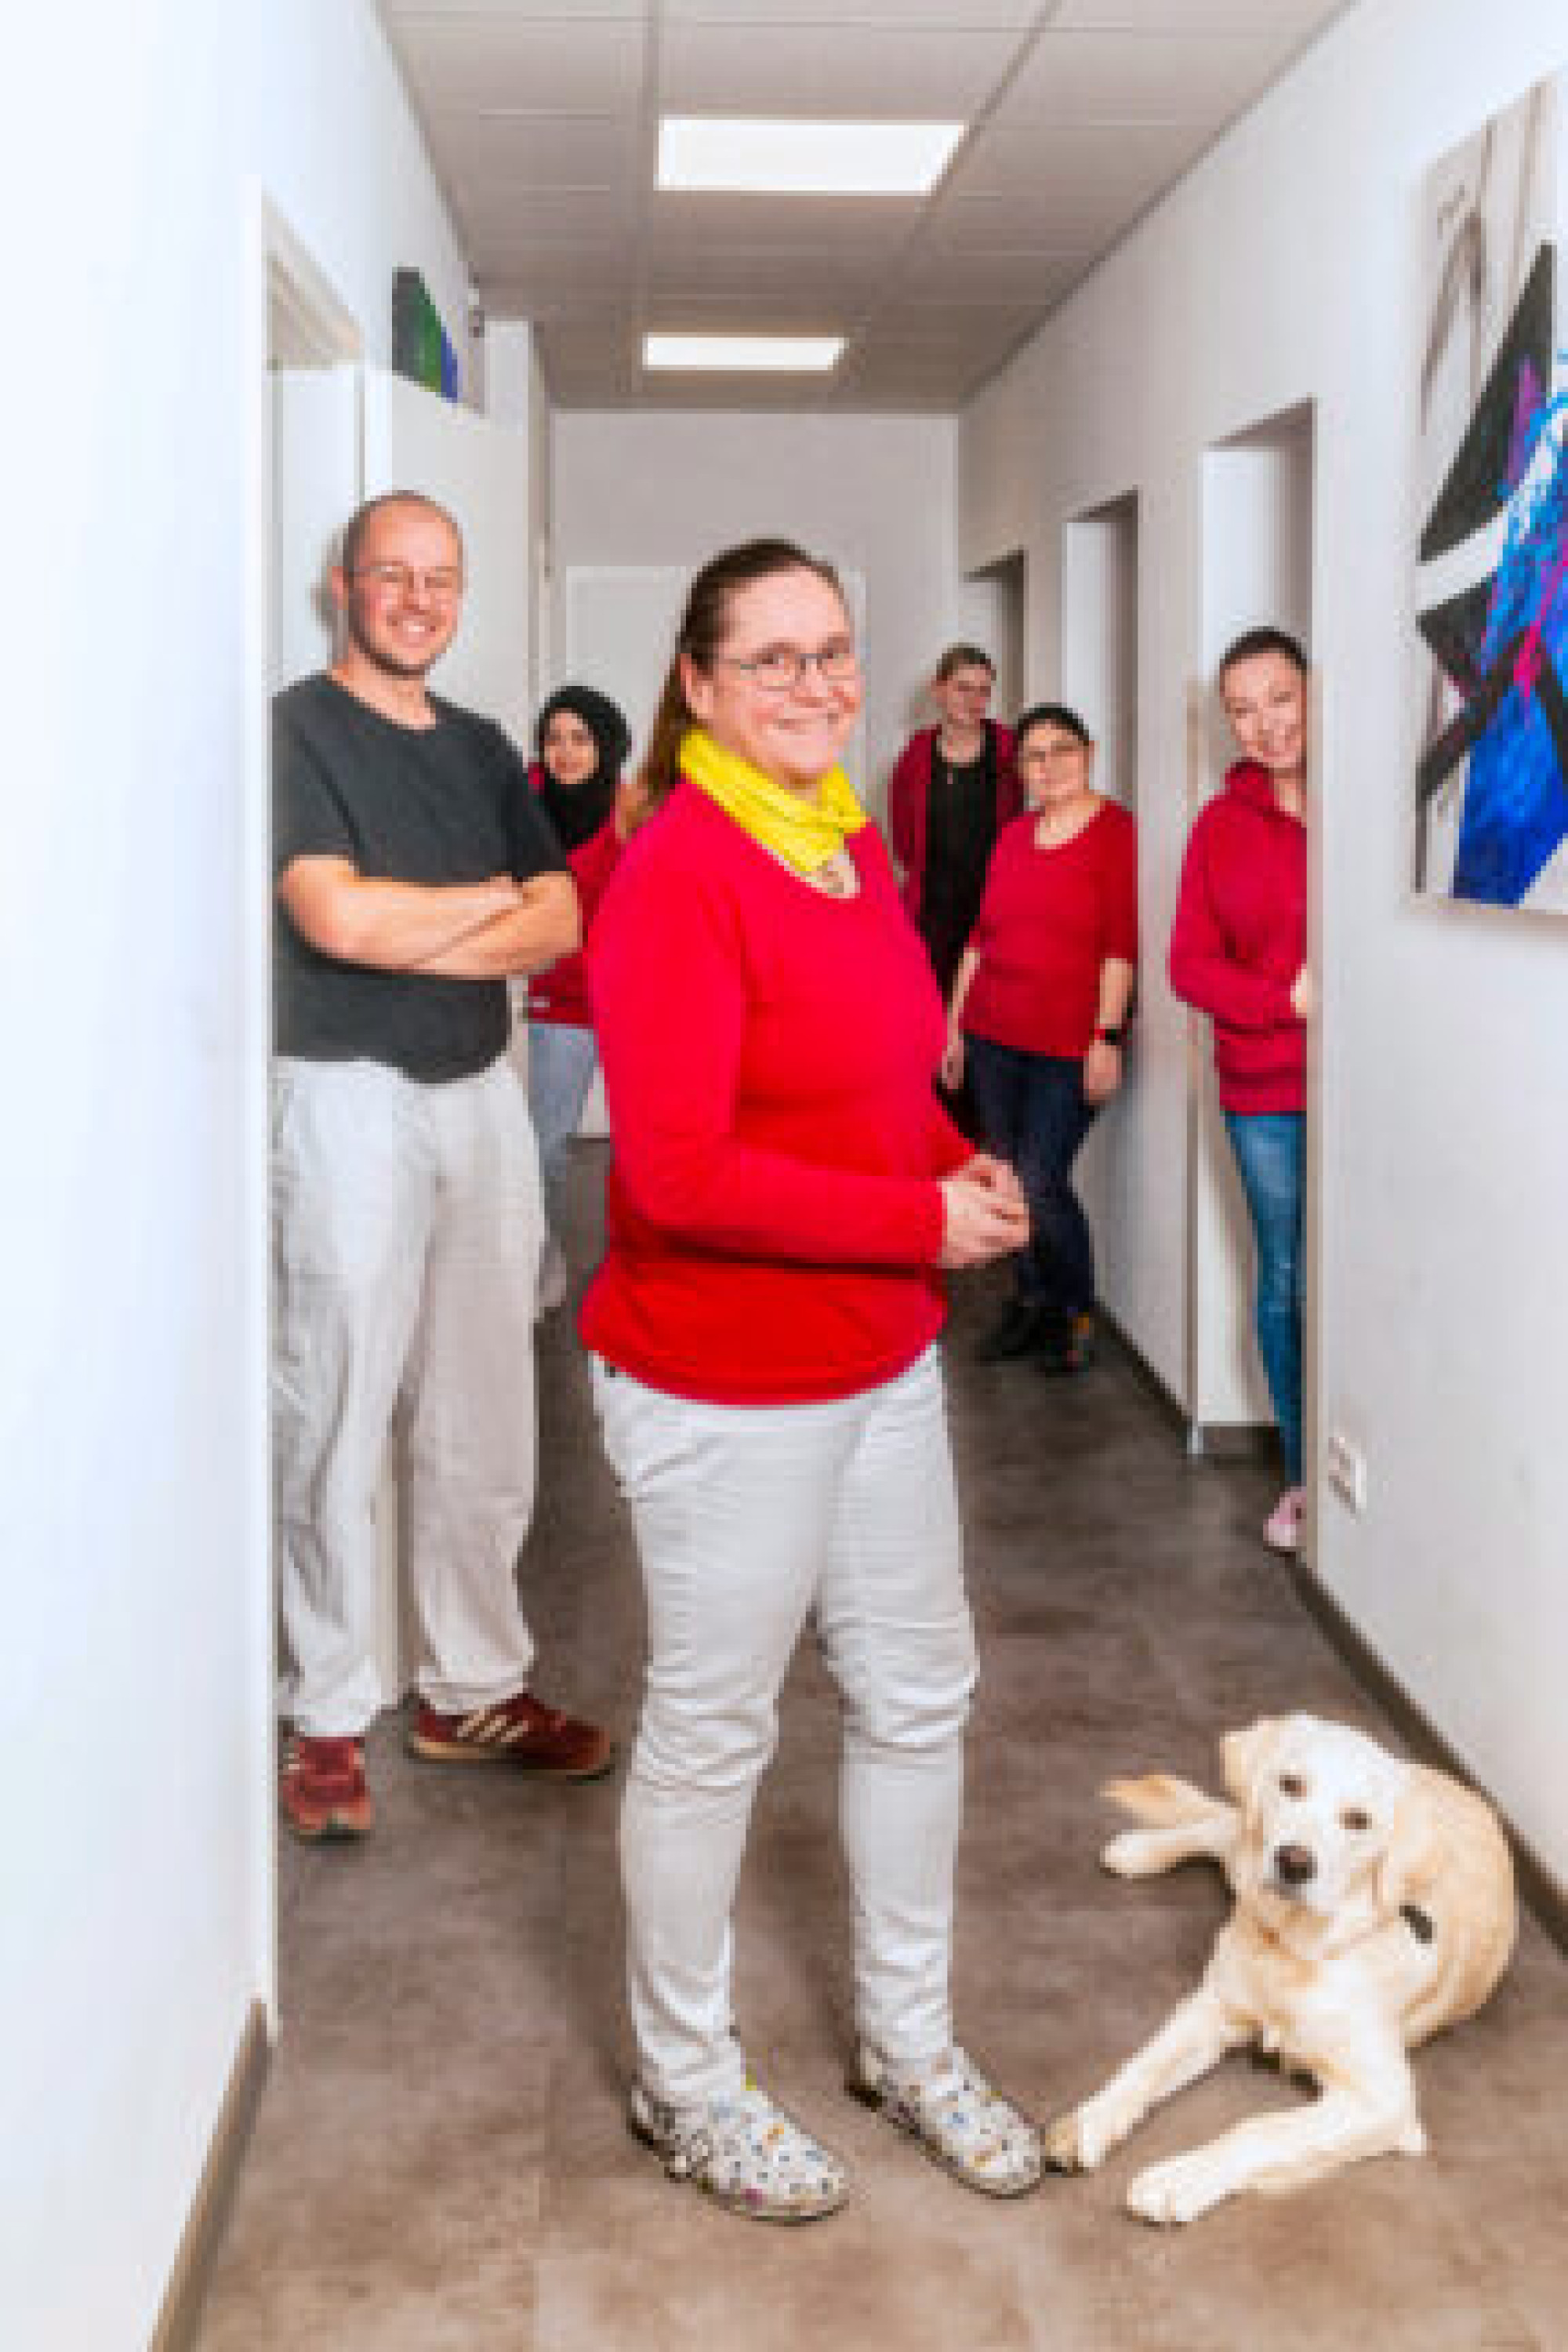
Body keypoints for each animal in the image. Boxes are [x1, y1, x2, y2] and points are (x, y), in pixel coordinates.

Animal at [1046, 1712, 1516, 2225]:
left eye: (1359, 1820)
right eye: (1291, 1784)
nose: (1293, 1862)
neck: (1294, 1948)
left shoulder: (1386, 2103)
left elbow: (1258, 2128)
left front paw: (1179, 2177)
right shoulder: (1212, 2008)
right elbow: (1145, 2065)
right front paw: (1091, 2119)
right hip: (1245, 1861)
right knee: (1222, 1824)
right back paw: (1139, 1851)